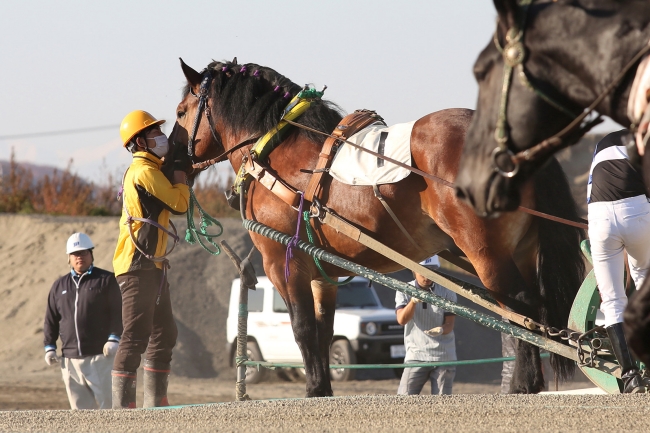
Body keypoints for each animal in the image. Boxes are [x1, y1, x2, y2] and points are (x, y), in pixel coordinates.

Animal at [167, 57, 584, 394]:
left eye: (181, 111)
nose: (171, 162)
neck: (278, 150)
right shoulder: (324, 275)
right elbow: (323, 332)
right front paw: (323, 389)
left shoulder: (284, 262)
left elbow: (302, 329)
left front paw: (313, 389)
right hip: (522, 250)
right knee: (536, 310)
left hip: (486, 254)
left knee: (522, 309)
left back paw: (524, 384)